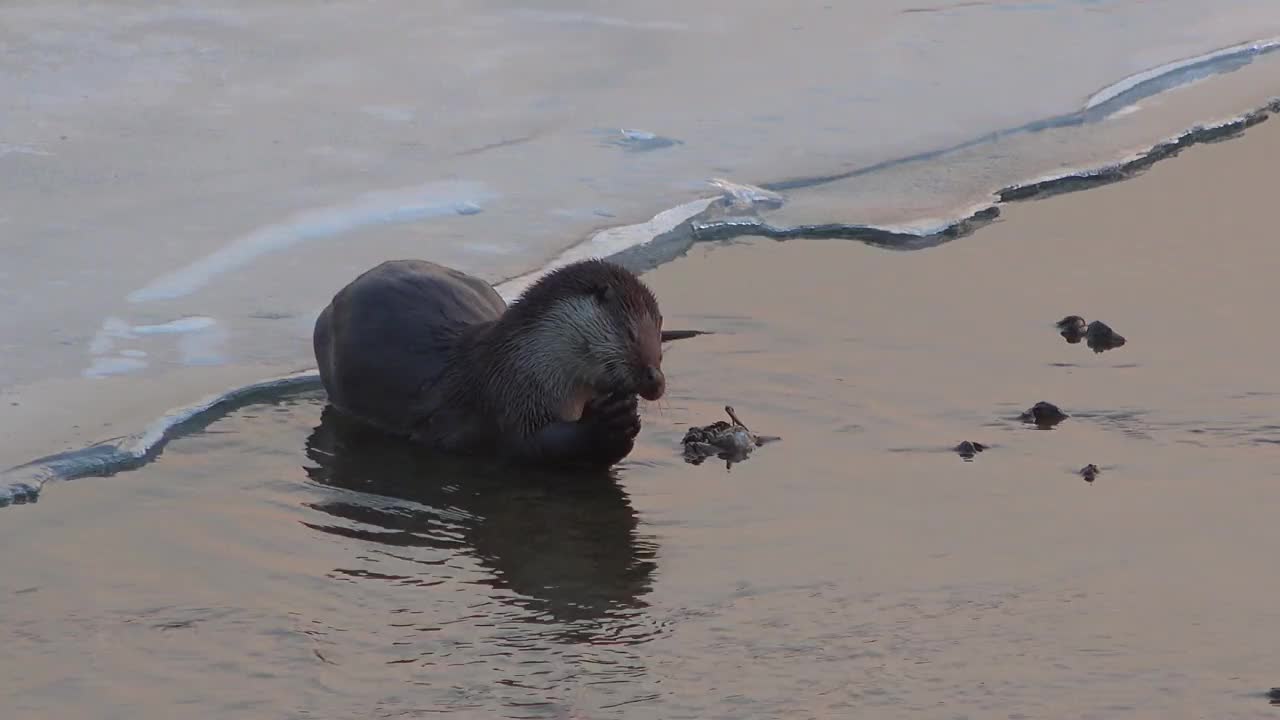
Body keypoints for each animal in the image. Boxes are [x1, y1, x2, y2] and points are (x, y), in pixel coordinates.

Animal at [312, 254, 670, 468]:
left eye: (659, 332)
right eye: (631, 334)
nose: (655, 379)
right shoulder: (503, 404)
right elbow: (527, 446)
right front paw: (607, 422)